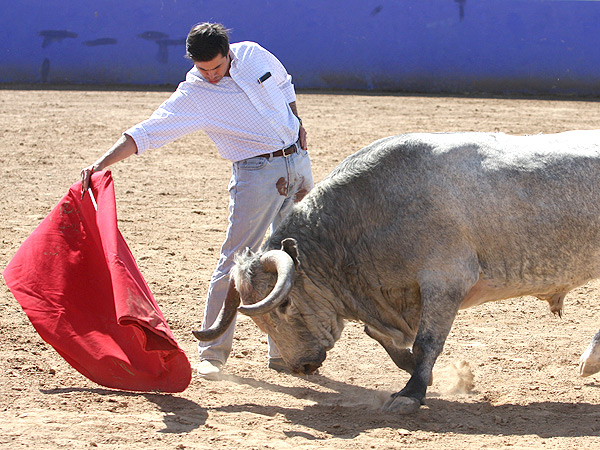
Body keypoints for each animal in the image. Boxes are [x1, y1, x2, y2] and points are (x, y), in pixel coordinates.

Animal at [193, 130, 600, 414]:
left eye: (284, 305)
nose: (301, 366)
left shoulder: (445, 282)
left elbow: (427, 342)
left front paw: (411, 393)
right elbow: (381, 336)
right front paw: (417, 371)